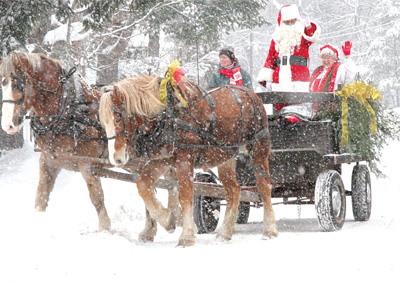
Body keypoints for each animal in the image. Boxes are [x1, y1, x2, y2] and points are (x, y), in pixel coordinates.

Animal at [0, 51, 180, 240]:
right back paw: (156, 225)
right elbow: (41, 196)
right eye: (2, 83)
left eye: (17, 84)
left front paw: (105, 228)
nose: (8, 126)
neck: (68, 111)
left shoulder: (87, 164)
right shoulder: (48, 161)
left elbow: (97, 197)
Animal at [98, 75, 278, 247]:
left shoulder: (185, 159)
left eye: (118, 119)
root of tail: (252, 94)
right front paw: (168, 220)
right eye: (103, 123)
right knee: (234, 190)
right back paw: (225, 233)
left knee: (264, 187)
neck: (169, 115)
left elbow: (185, 195)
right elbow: (143, 185)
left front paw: (186, 236)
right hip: (225, 157)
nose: (116, 158)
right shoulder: (162, 159)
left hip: (258, 150)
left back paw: (270, 229)